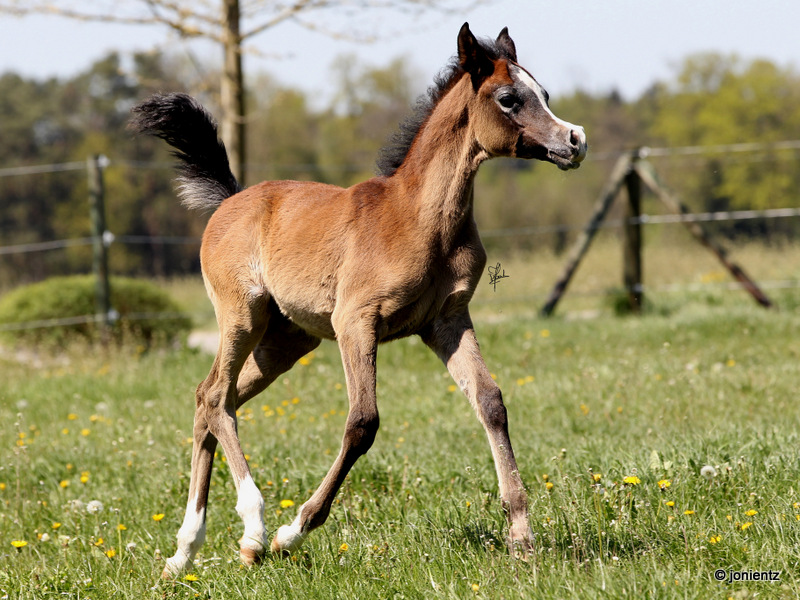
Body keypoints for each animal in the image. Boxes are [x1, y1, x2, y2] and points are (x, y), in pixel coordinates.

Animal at [130, 22, 586, 578]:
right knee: (217, 397)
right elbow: (363, 422)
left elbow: (491, 403)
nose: (575, 140)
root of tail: (231, 198)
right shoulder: (356, 321)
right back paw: (254, 529)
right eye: (508, 98)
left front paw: (521, 538)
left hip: (286, 341)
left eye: (545, 94)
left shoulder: (448, 321)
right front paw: (292, 531)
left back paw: (184, 551)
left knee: (210, 399)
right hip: (242, 316)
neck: (421, 219)